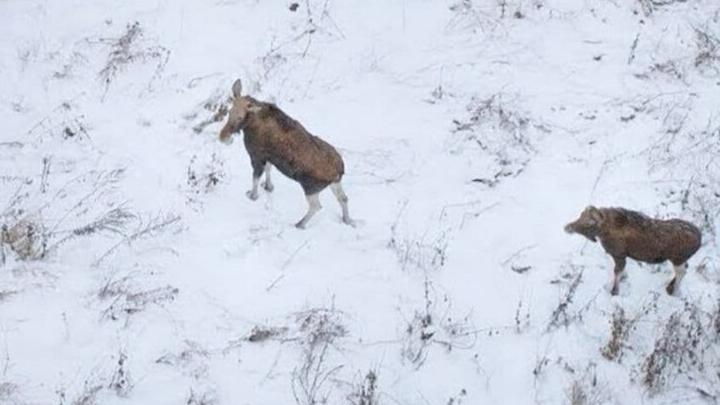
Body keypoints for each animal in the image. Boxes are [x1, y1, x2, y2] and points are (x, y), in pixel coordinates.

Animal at [219, 78, 354, 227]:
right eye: (229, 112)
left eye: (240, 117)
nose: (223, 137)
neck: (251, 124)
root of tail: (339, 170)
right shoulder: (268, 157)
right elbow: (268, 170)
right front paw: (268, 186)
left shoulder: (256, 156)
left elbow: (255, 178)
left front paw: (253, 195)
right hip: (334, 183)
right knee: (343, 198)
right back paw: (347, 219)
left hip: (310, 187)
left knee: (316, 206)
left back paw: (300, 224)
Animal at [564, 207, 700, 296]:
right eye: (580, 215)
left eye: (589, 222)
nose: (567, 227)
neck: (603, 232)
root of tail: (700, 239)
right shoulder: (621, 256)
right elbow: (621, 271)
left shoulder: (618, 254)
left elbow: (617, 272)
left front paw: (614, 291)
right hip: (681, 260)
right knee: (685, 268)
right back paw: (670, 286)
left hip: (677, 259)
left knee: (682, 272)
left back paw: (673, 291)